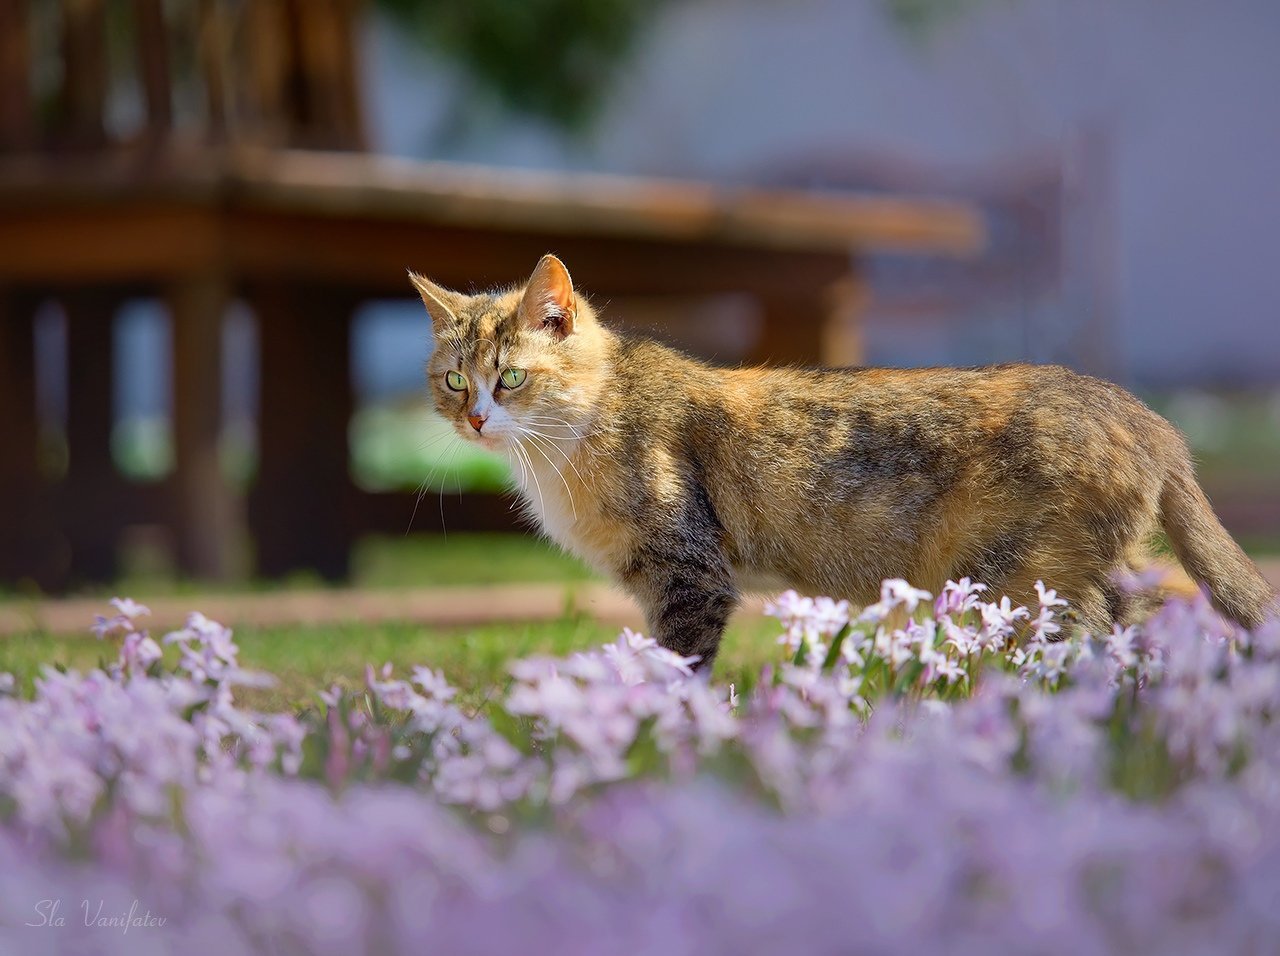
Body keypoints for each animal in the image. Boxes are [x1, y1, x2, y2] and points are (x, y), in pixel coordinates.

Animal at [414, 255, 1274, 670]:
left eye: (510, 376)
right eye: (454, 379)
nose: (477, 417)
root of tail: (1146, 416)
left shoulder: (688, 573)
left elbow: (682, 667)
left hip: (1032, 581)